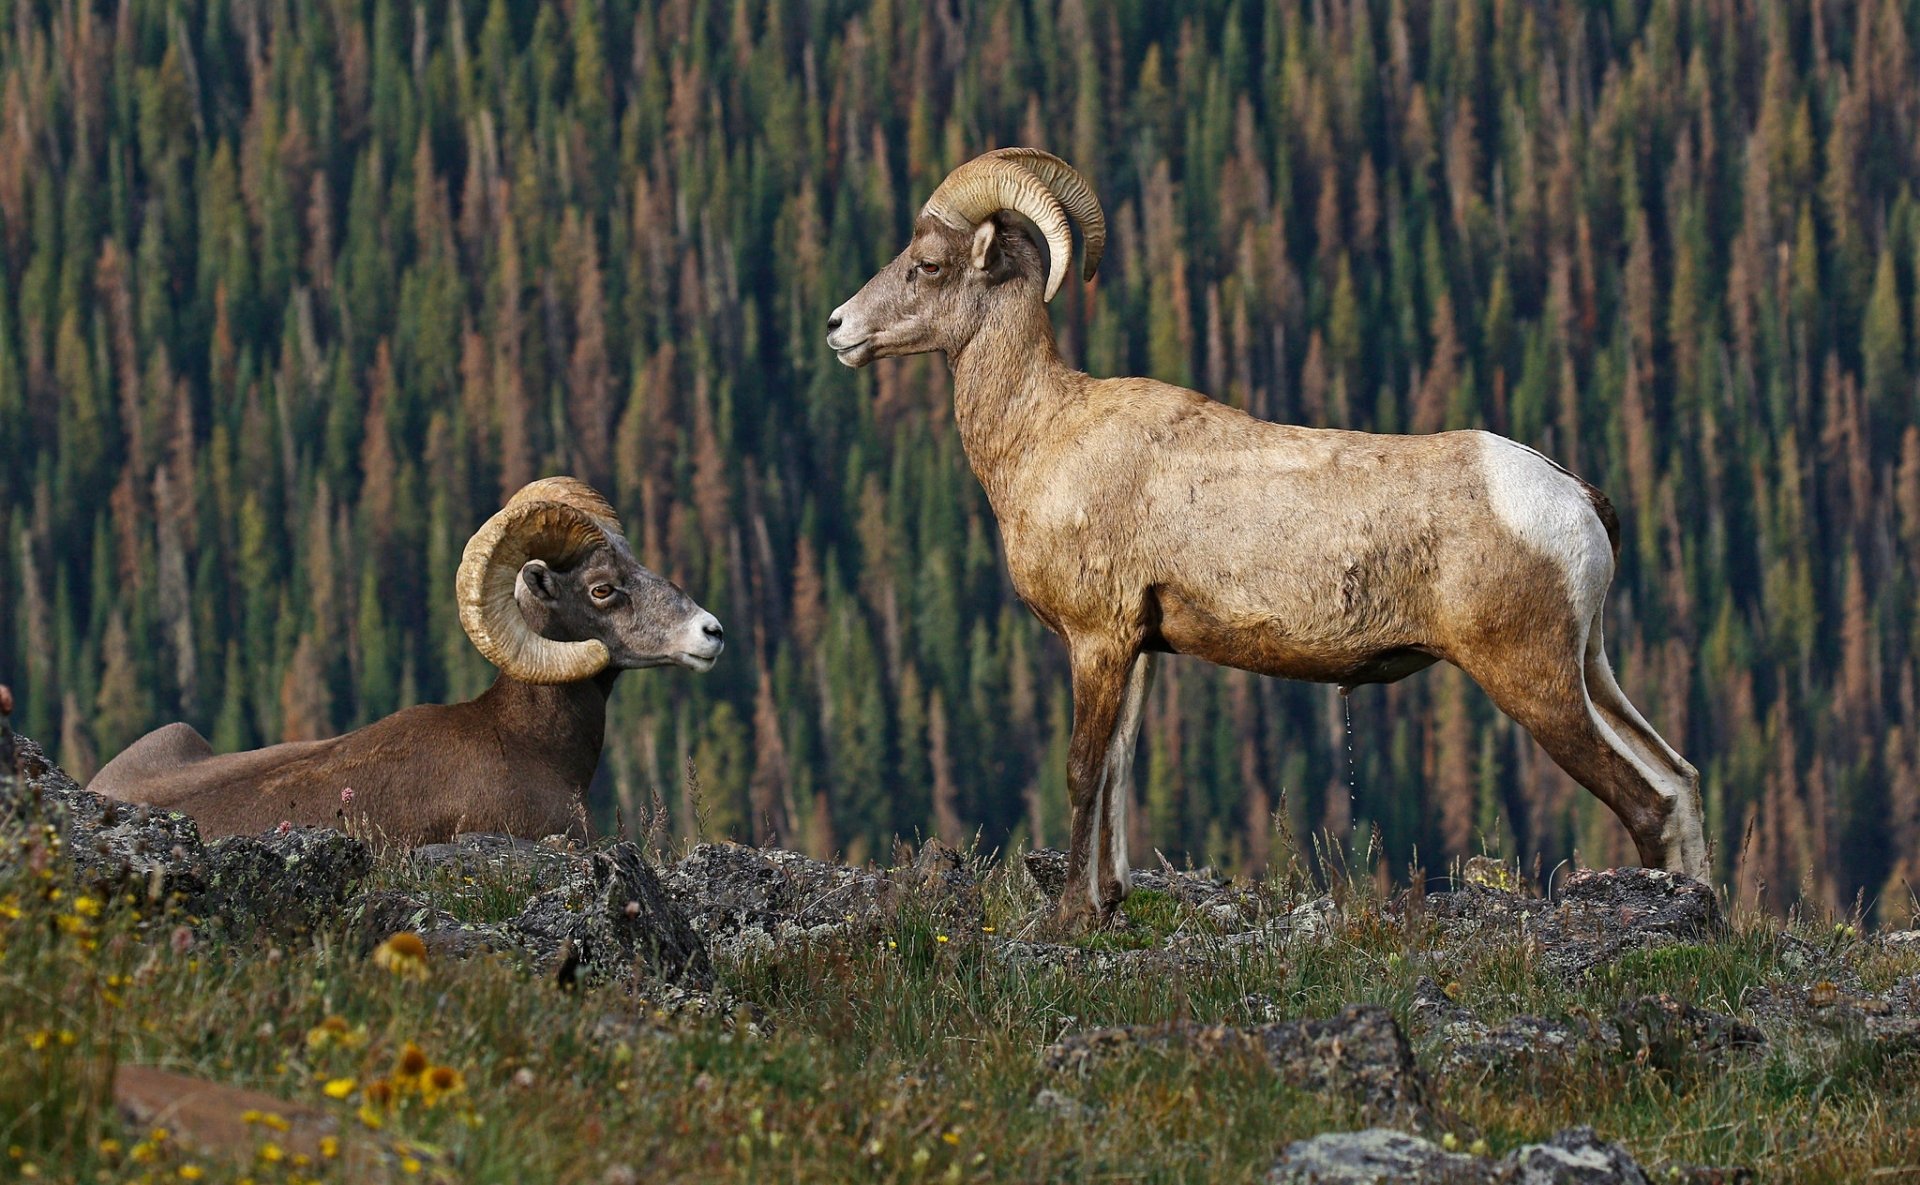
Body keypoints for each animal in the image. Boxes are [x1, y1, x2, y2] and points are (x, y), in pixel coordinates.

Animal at [826, 148, 1709, 929]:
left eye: (928, 264)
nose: (837, 328)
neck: (1041, 434)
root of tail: (1573, 497)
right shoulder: (1138, 648)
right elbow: (1118, 771)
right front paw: (1108, 902)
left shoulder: (1097, 639)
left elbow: (1083, 771)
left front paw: (1070, 917)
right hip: (1590, 667)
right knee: (1680, 780)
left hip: (1534, 679)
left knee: (1646, 799)